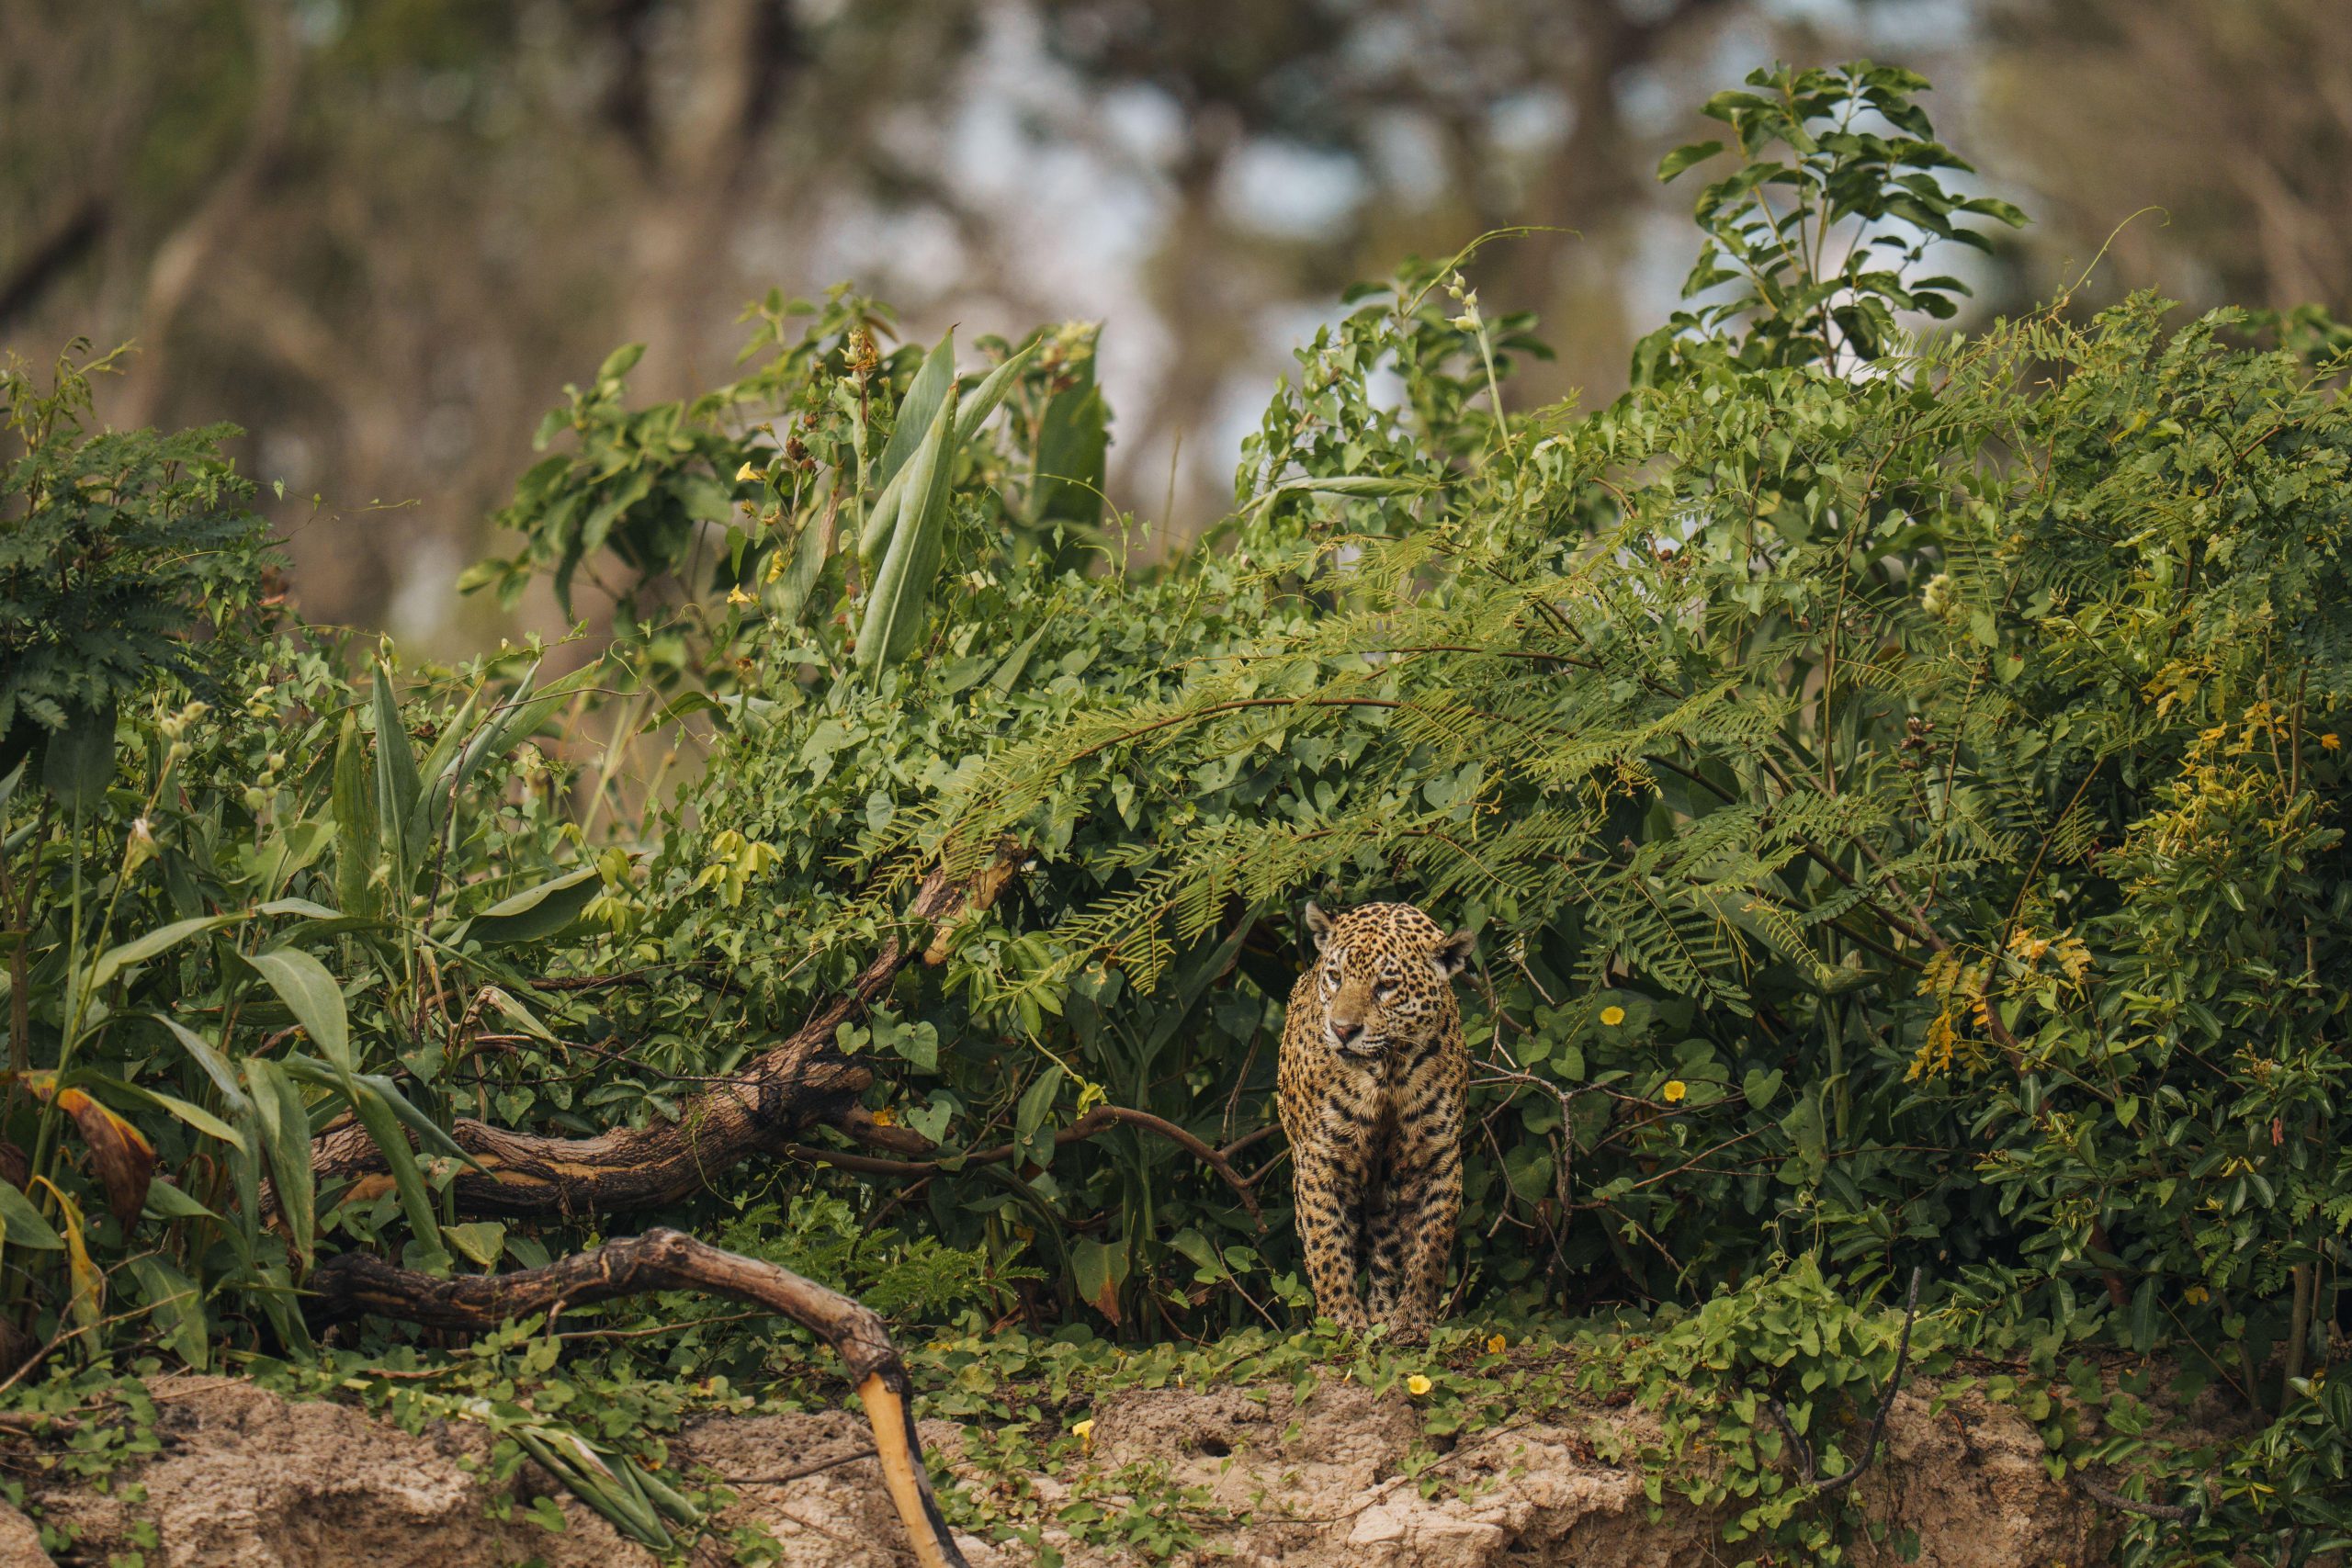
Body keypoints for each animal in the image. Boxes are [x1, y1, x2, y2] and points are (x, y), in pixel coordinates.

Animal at [1276, 899, 1474, 1342]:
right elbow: (1326, 1245)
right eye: (1334, 977)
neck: (1387, 1073)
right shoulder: (1319, 1159)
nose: (1342, 1029)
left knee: (1386, 1244)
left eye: (1386, 985)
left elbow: (1431, 1243)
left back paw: (1383, 1313)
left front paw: (1413, 1323)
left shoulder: (1438, 1157)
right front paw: (1342, 1324)